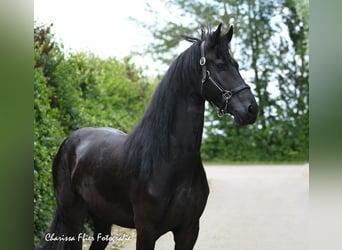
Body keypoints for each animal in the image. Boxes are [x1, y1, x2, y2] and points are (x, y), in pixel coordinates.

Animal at [36, 23, 258, 250]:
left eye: (236, 65)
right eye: (221, 65)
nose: (252, 109)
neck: (170, 162)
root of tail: (69, 141)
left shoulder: (189, 230)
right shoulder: (146, 231)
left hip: (102, 220)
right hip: (73, 216)